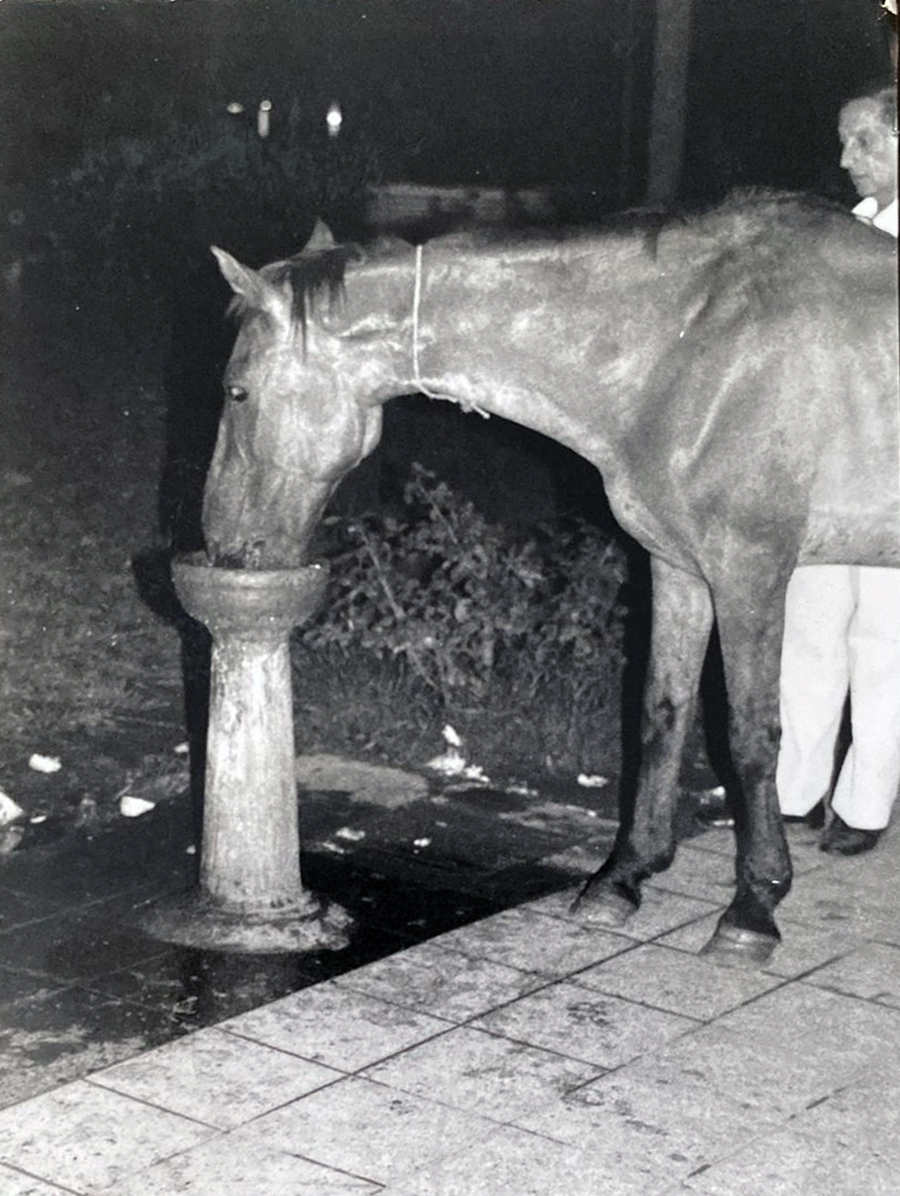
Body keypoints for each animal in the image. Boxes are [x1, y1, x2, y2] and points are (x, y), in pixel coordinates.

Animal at [203, 192, 899, 965]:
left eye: (237, 391)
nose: (218, 539)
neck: (687, 349)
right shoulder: (680, 569)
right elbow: (661, 713)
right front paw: (625, 874)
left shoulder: (750, 571)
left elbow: (750, 736)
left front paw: (754, 904)